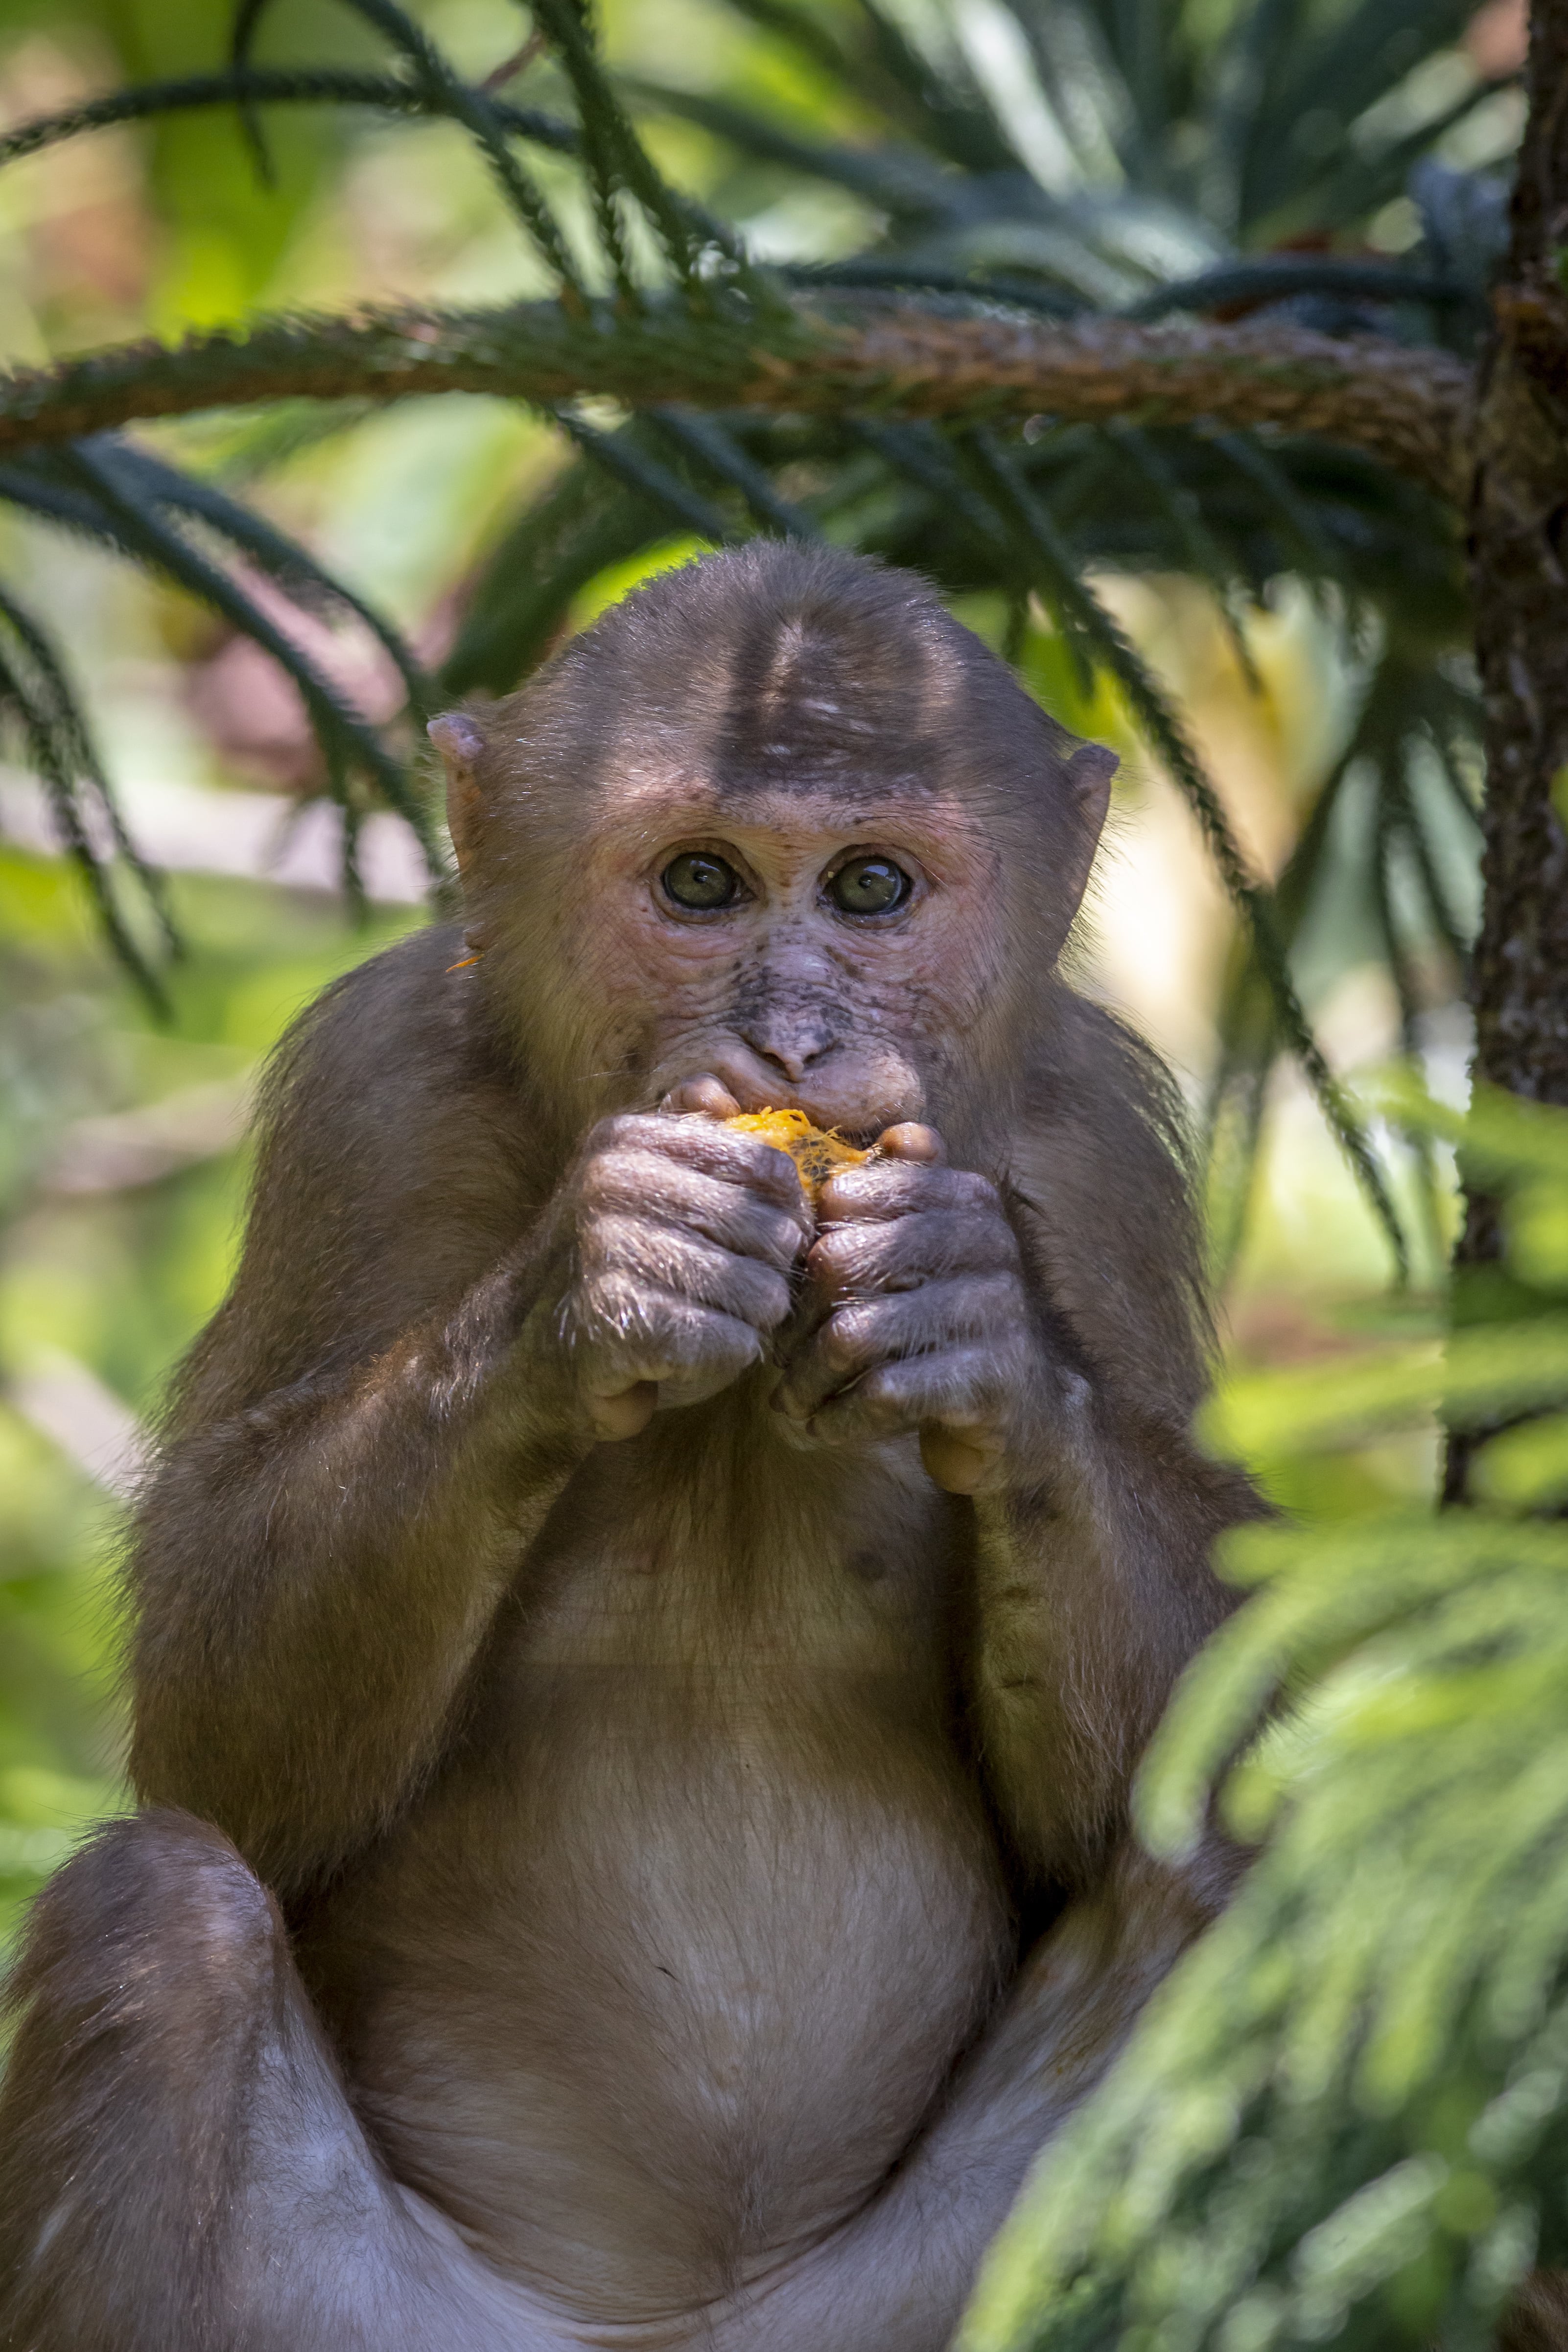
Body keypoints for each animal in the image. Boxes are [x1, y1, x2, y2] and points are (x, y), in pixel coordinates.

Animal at [0, 541, 1261, 2352]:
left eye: (871, 888)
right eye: (701, 882)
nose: (792, 1039)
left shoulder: (1096, 1143)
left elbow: (1176, 1757)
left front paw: (980, 1326)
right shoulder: (373, 1090)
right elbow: (220, 1727)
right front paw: (602, 1277)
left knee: (1222, 1890)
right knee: (159, 1920)